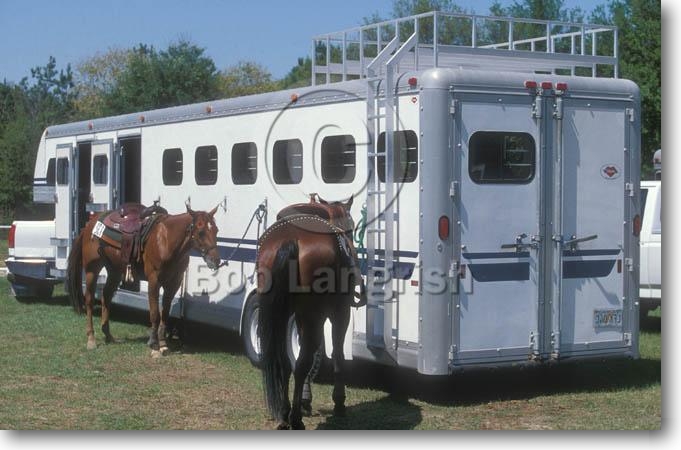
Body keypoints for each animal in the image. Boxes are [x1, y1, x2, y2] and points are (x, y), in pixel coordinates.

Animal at [66, 204, 221, 354]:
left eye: (216, 230)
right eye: (201, 232)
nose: (216, 260)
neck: (166, 241)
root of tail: (90, 224)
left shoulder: (174, 284)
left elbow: (165, 314)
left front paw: (163, 344)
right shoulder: (154, 281)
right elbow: (155, 314)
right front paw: (153, 344)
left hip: (114, 271)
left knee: (106, 297)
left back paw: (108, 336)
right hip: (92, 269)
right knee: (89, 300)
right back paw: (91, 339)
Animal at [257, 195, 365, 430]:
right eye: (351, 227)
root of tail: (290, 240)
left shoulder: (299, 316)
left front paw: (306, 400)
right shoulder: (339, 313)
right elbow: (337, 354)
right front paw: (339, 402)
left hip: (282, 314)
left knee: (285, 362)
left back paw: (285, 413)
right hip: (315, 315)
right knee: (301, 362)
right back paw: (295, 418)